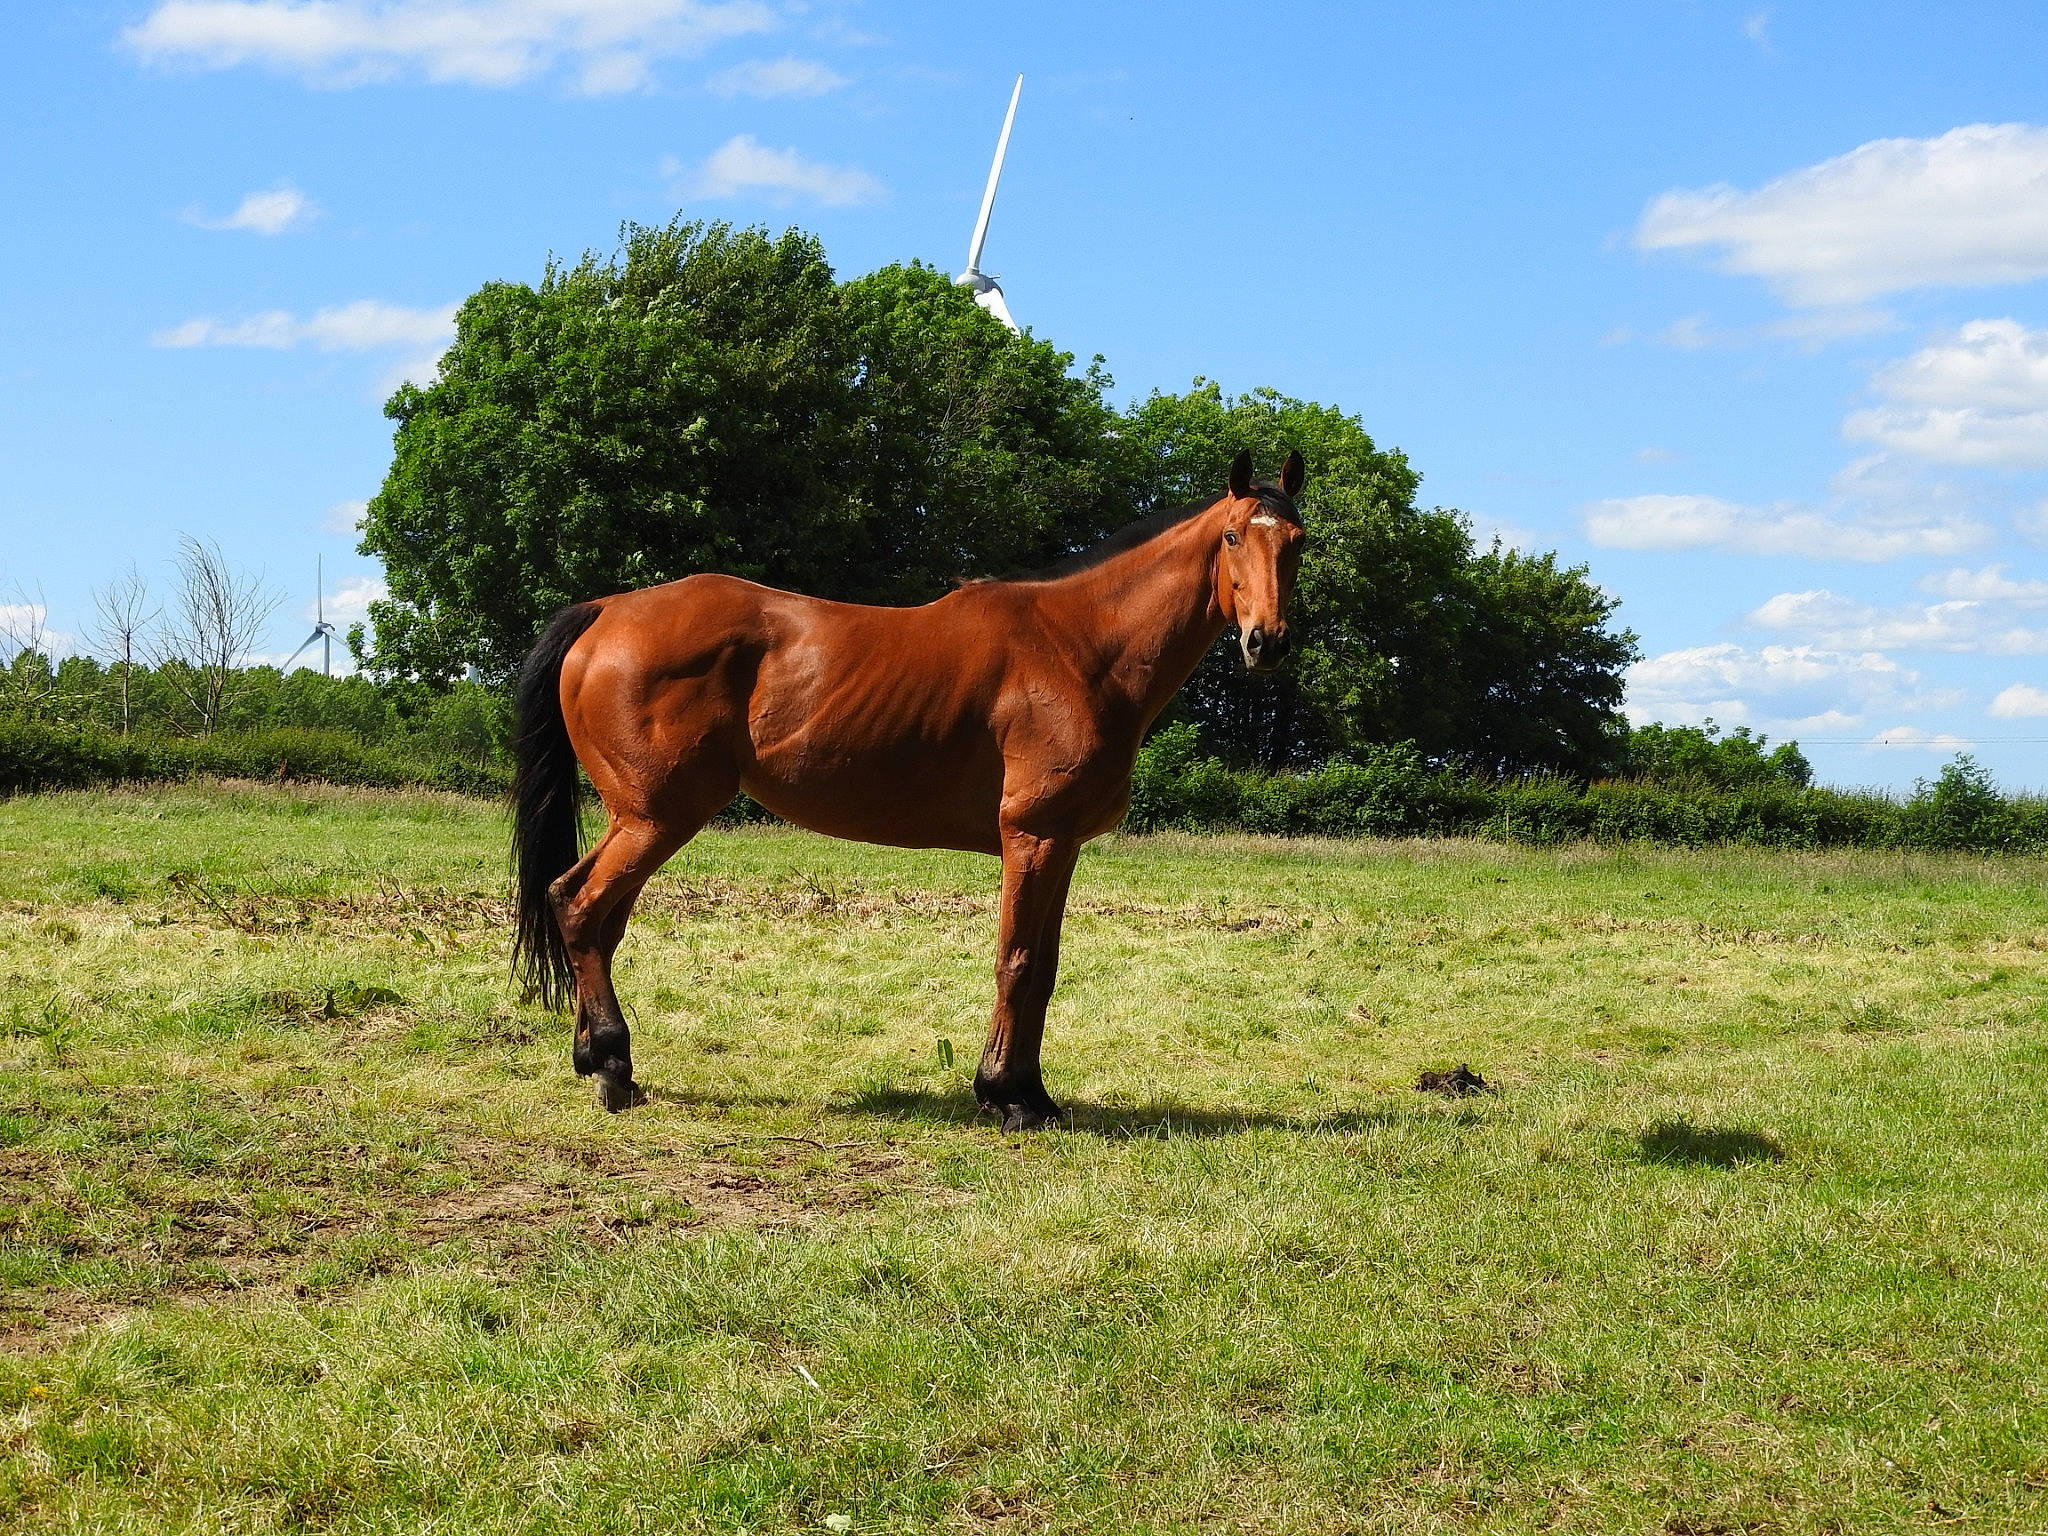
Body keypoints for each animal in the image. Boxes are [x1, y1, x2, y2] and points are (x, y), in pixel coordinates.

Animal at [511, 449, 1306, 1129]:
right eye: (1233, 535)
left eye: (1298, 542)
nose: (1267, 642)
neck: (1079, 648)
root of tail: (609, 611)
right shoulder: (1033, 837)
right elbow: (1017, 961)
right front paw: (1004, 1095)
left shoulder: (1064, 844)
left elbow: (1045, 968)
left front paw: (1035, 1094)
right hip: (656, 817)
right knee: (578, 905)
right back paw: (611, 1064)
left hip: (639, 820)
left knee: (593, 916)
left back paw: (599, 1059)